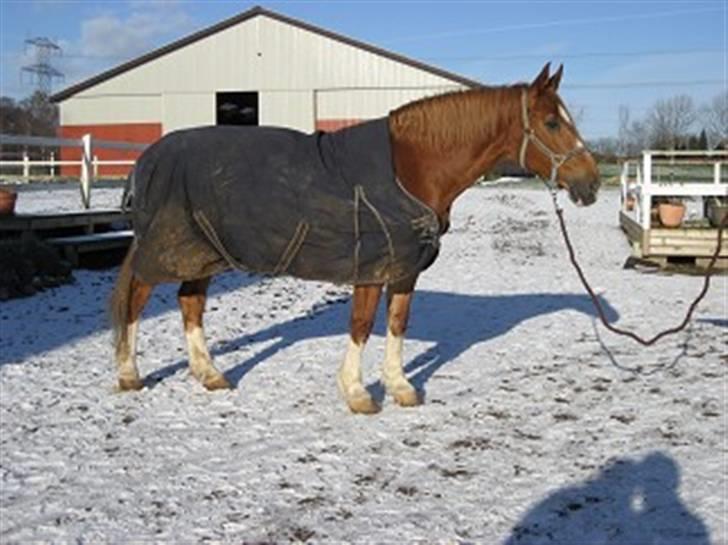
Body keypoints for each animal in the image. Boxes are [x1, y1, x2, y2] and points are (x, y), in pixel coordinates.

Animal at [108, 62, 596, 412]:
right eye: (552, 123)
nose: (589, 182)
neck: (411, 169)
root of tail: (148, 157)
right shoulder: (371, 267)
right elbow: (361, 325)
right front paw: (358, 393)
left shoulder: (404, 270)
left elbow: (397, 323)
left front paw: (401, 387)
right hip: (166, 252)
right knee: (136, 301)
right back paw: (130, 375)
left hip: (204, 253)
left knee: (189, 303)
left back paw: (210, 375)